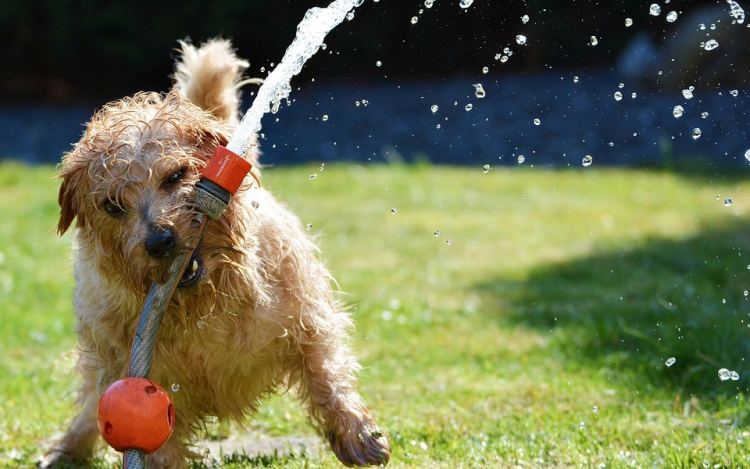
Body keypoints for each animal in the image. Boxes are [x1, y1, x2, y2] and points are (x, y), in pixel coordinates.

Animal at [39, 38, 394, 466]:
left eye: (176, 175)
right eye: (112, 205)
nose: (160, 241)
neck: (204, 306)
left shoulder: (307, 319)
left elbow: (326, 372)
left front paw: (357, 434)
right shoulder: (142, 377)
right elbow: (156, 441)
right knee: (90, 402)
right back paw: (67, 448)